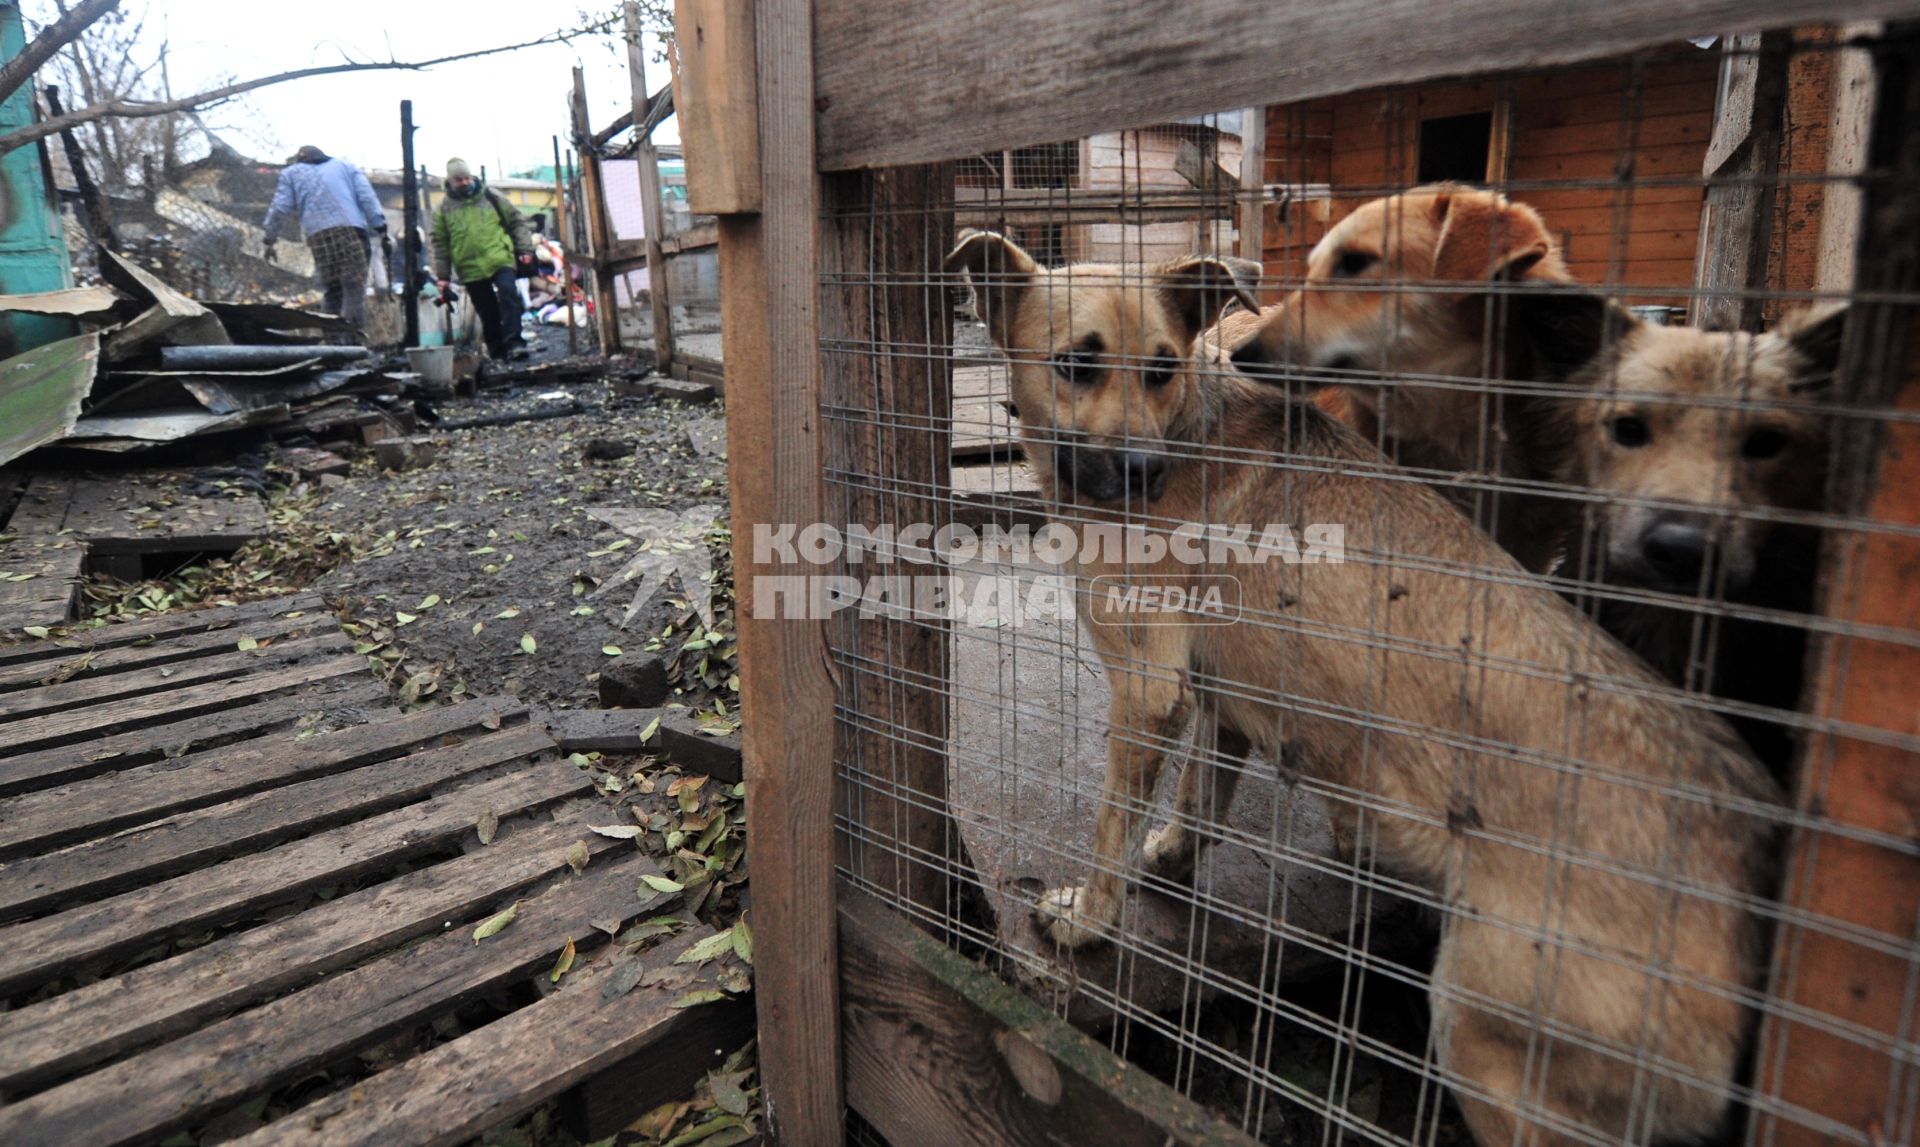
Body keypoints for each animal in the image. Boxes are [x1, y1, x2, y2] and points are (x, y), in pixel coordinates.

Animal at [948, 225, 1781, 1145]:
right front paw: (1170, 856)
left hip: (1482, 1033)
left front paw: (1089, 918)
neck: (1188, 429)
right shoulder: (1220, 688)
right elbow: (1202, 793)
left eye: (1163, 368)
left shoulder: (1148, 688)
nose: (1141, 471)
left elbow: (1110, 828)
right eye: (1076, 363)